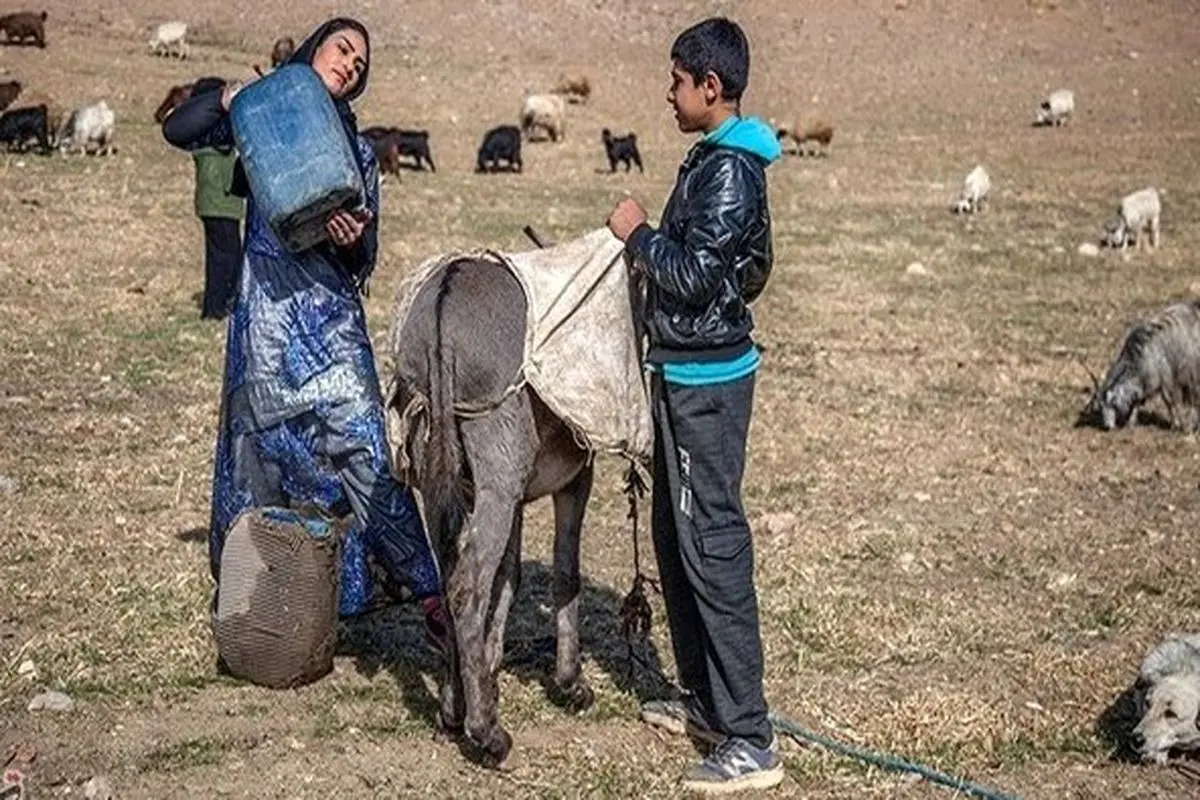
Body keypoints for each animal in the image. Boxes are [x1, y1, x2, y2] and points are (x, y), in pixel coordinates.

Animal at [1080, 298, 1200, 431]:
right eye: (1100, 407)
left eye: (1113, 402)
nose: (1107, 426)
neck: (1142, 354)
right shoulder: (1145, 382)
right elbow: (1137, 402)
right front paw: (1131, 423)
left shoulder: (1166, 379)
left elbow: (1169, 401)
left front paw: (1176, 424)